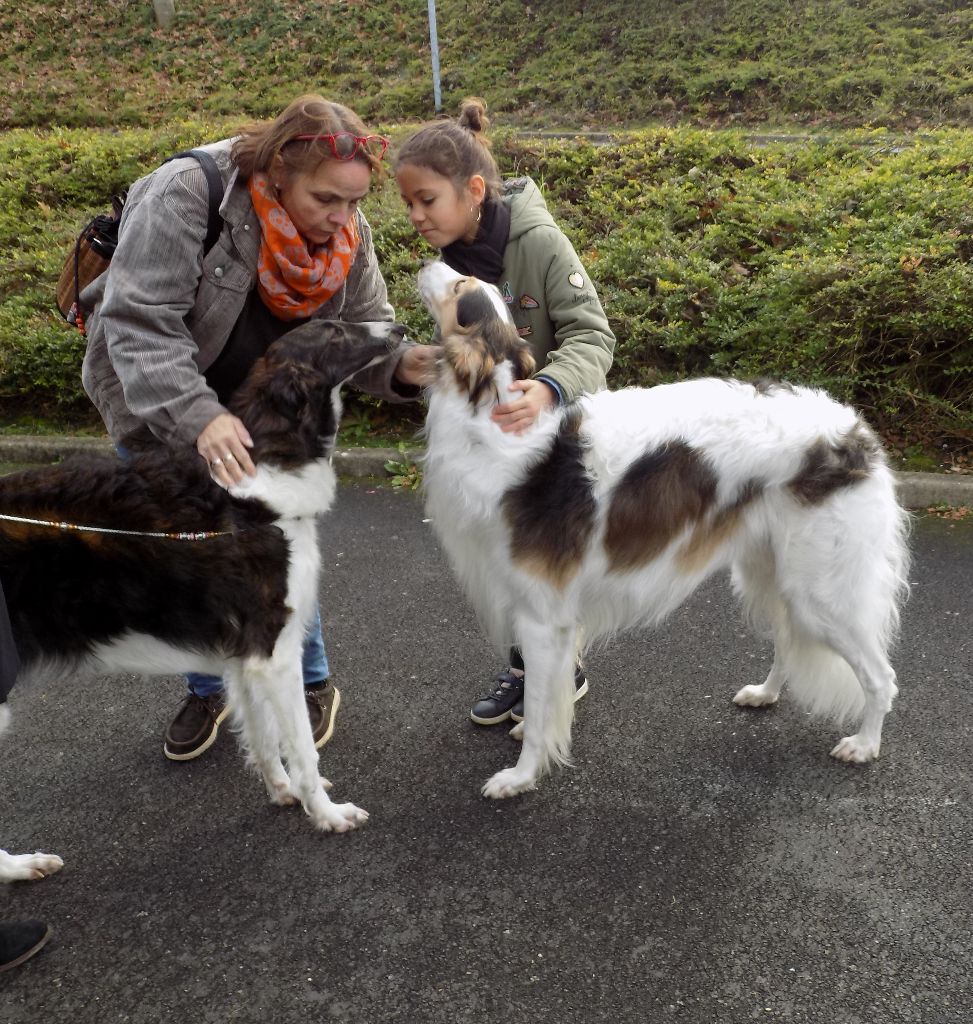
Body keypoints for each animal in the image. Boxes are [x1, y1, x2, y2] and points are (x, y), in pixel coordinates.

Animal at [0, 319, 403, 872]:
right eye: (334, 333)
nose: (399, 326)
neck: (261, 473)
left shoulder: (246, 656)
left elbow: (264, 739)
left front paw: (284, 792)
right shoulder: (274, 651)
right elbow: (301, 746)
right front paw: (326, 812)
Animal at [419, 262, 913, 798]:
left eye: (460, 286)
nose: (426, 262)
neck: (492, 422)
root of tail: (856, 433)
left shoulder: (541, 616)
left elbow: (540, 703)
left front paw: (521, 776)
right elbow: (545, 701)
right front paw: (531, 735)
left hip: (822, 592)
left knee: (881, 676)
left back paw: (864, 744)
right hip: (770, 574)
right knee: (786, 642)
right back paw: (765, 693)